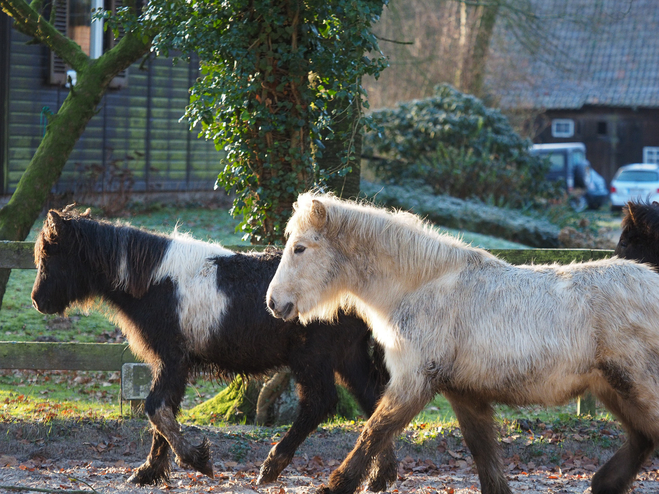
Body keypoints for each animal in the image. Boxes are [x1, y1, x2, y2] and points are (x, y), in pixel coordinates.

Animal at [31, 208, 390, 486]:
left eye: (51, 255)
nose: (37, 301)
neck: (156, 282)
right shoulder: (174, 363)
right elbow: (164, 413)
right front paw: (149, 472)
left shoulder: (172, 358)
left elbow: (155, 408)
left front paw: (197, 460)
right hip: (347, 357)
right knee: (376, 403)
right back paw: (379, 476)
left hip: (313, 358)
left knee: (320, 403)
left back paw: (272, 467)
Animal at [266, 192, 659, 494]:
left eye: (299, 248)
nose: (273, 303)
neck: (421, 286)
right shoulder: (464, 394)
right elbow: (484, 457)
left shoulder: (413, 382)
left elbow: (373, 432)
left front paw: (332, 485)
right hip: (614, 389)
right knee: (643, 438)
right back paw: (604, 483)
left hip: (635, 387)